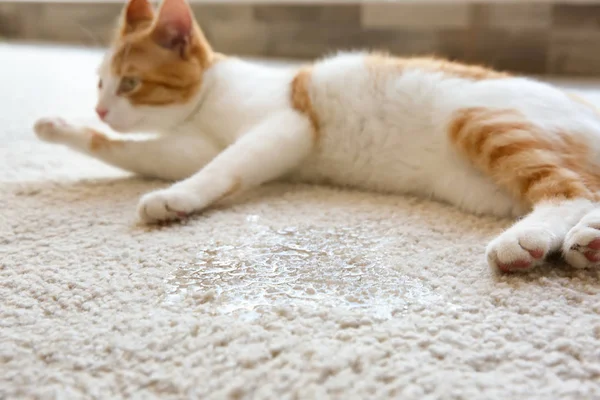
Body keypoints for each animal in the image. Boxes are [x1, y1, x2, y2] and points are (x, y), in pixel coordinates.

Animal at [32, 0, 600, 272]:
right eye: (99, 83)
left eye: (130, 83)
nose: (101, 108)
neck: (206, 101)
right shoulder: (184, 146)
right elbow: (139, 153)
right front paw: (58, 127)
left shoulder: (287, 124)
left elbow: (221, 166)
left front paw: (177, 197)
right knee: (590, 194)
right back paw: (587, 243)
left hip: (482, 121)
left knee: (572, 192)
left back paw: (529, 240)